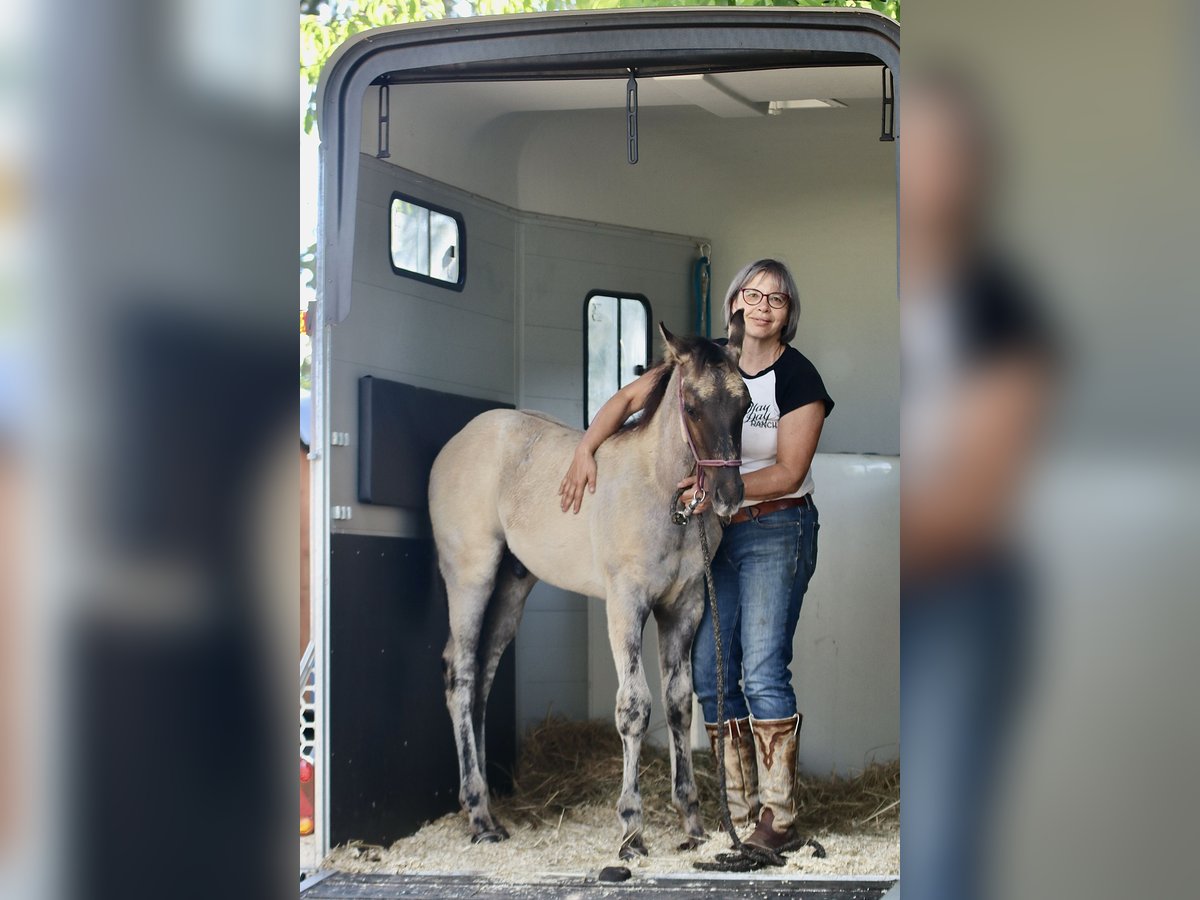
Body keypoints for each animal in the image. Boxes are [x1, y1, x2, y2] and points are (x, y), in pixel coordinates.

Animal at [432, 316, 748, 859]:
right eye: (691, 407)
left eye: (745, 403)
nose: (729, 497)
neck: (662, 495)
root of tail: (452, 445)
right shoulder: (625, 605)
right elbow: (634, 708)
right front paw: (631, 830)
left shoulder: (684, 609)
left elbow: (678, 704)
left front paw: (693, 823)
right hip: (471, 577)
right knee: (462, 675)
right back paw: (479, 816)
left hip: (512, 587)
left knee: (484, 680)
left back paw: (490, 804)